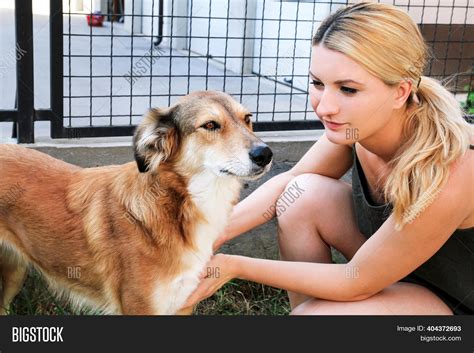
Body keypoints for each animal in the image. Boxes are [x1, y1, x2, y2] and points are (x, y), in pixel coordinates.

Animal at [0, 91, 272, 314]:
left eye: (248, 118)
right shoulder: (140, 308)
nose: (265, 154)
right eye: (210, 125)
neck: (174, 205)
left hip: (14, 272)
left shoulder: (183, 304)